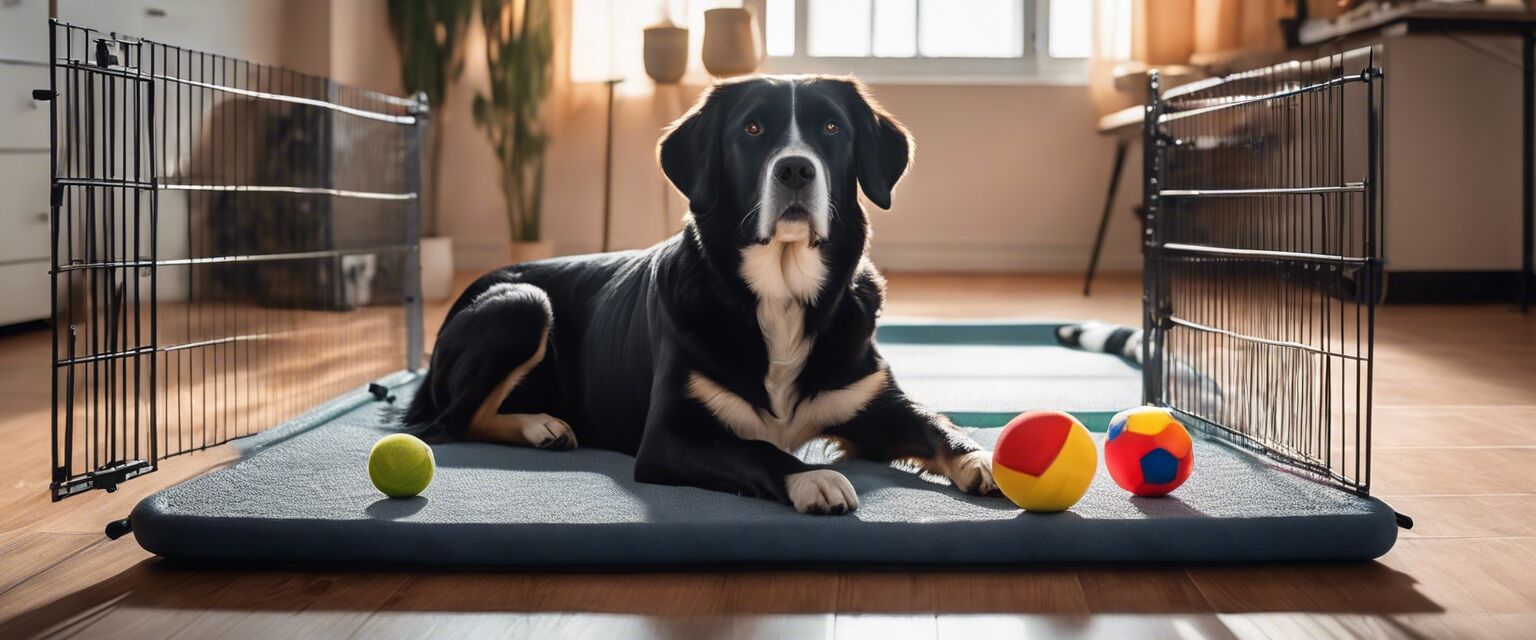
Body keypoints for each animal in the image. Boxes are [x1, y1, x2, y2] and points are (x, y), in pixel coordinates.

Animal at [405, 74, 995, 512]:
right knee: (448, 424)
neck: (781, 296)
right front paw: (811, 478)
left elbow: (938, 424)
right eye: (752, 128)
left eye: (832, 127)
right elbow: (756, 449)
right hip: (524, 304)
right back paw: (539, 425)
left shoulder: (874, 401)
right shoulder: (668, 437)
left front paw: (984, 458)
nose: (795, 168)